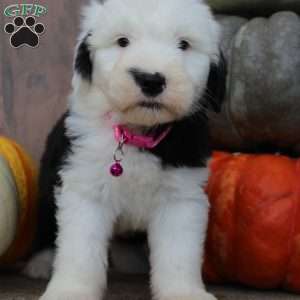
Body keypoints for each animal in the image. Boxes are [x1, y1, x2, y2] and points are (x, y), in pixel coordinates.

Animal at [25, 0, 226, 298]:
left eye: (184, 44)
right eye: (122, 41)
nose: (151, 79)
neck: (137, 133)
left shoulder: (181, 196)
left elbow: (178, 253)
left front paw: (184, 292)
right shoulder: (85, 187)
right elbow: (80, 249)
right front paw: (71, 289)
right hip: (47, 183)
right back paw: (40, 262)